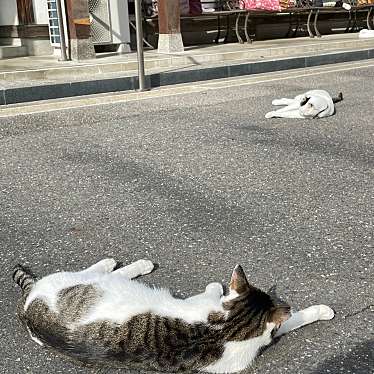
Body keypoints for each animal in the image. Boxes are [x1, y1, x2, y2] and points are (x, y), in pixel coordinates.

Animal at [12, 258, 334, 372]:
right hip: (77, 281)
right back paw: (121, 263)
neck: (227, 327)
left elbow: (290, 321)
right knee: (95, 271)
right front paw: (216, 285)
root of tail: (27, 304)